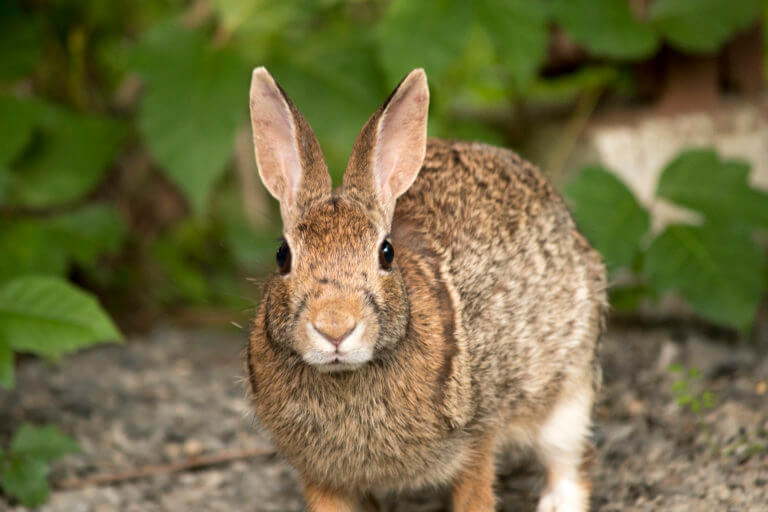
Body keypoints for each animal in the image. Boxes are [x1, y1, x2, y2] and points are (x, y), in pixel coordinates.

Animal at [246, 65, 608, 512]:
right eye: (282, 256)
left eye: (386, 253)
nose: (335, 328)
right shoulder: (320, 474)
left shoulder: (477, 435)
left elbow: (476, 494)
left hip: (568, 388)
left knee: (569, 462)